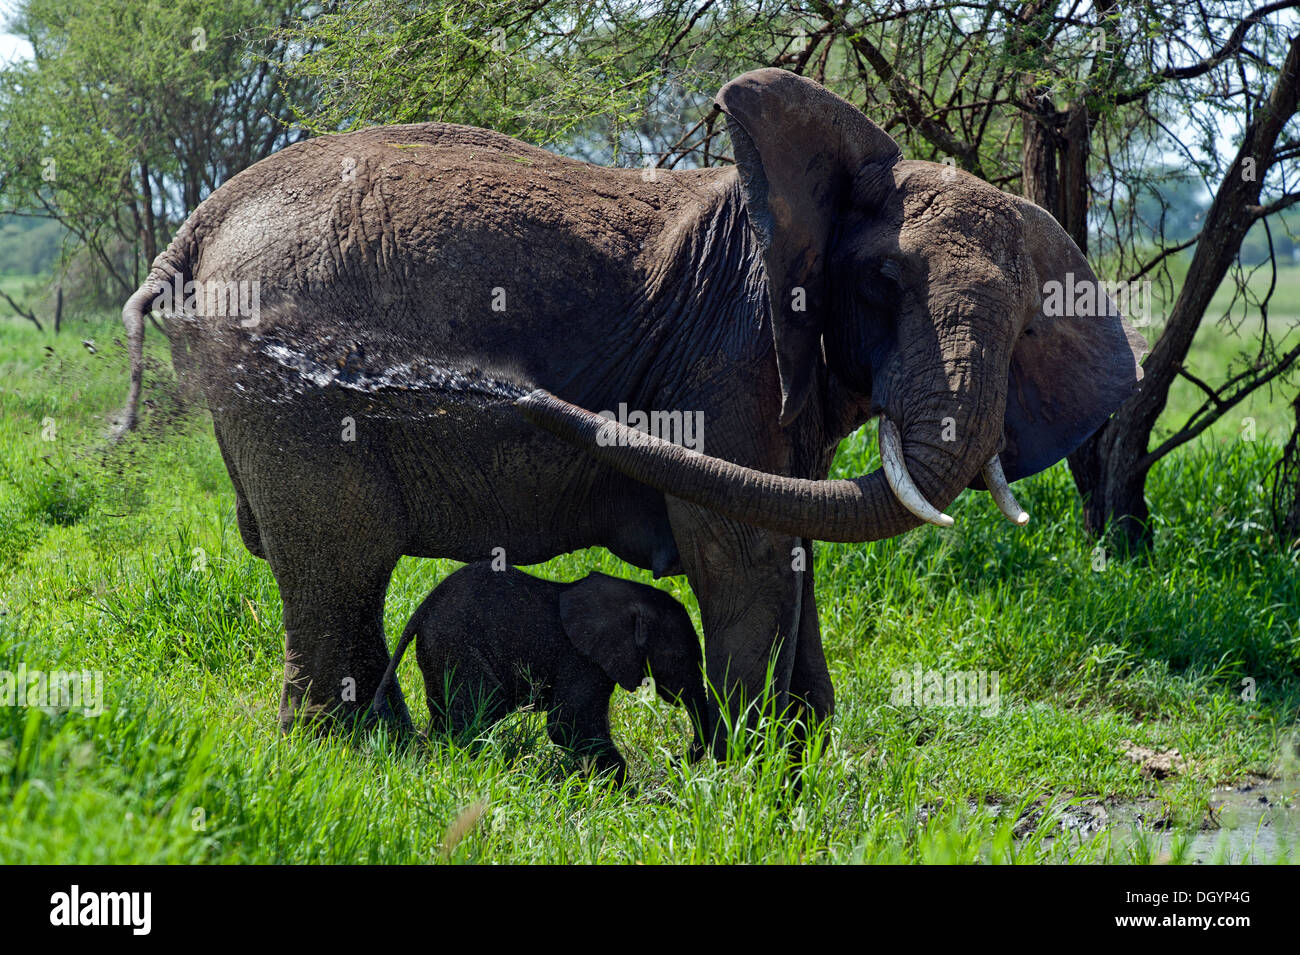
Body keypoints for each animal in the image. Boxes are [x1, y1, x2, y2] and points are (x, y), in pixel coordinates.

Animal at [116, 70, 1144, 748]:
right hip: (286, 387)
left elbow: (798, 539)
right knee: (344, 554)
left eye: (1028, 326)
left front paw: (795, 769)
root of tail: (196, 226)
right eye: (885, 281)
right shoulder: (730, 360)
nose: (512, 388)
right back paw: (362, 757)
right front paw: (750, 781)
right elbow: (745, 550)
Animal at [371, 563, 707, 779]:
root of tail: (423, 607)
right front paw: (626, 793)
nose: (674, 760)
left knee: (447, 712)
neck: (629, 597)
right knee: (482, 708)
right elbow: (570, 724)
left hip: (437, 649)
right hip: (456, 643)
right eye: (679, 657)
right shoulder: (581, 659)